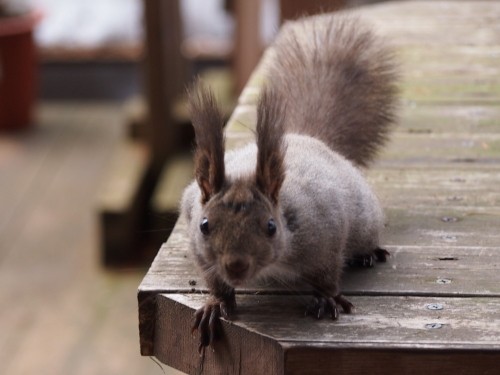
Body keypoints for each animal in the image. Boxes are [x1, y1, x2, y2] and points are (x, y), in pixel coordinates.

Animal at [180, 13, 398, 352]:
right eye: (204, 225)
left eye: (271, 226)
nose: (236, 266)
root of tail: (308, 139)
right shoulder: (199, 247)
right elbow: (214, 280)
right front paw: (215, 304)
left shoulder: (325, 231)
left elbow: (327, 274)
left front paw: (326, 299)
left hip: (364, 222)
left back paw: (368, 253)